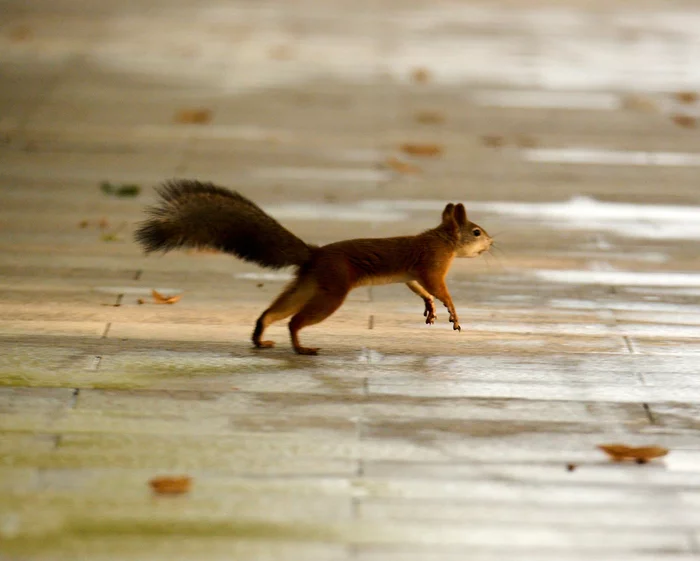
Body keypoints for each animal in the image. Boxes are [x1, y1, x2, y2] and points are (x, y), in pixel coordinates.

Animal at [135, 180, 493, 355]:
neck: (442, 240)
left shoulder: (414, 273)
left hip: (308, 284)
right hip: (333, 289)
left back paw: (261, 339)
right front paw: (451, 310)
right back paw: (301, 347)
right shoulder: (432, 264)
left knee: (272, 314)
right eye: (476, 232)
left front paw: (430, 307)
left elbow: (418, 287)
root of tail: (314, 254)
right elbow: (438, 287)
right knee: (294, 320)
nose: (491, 242)